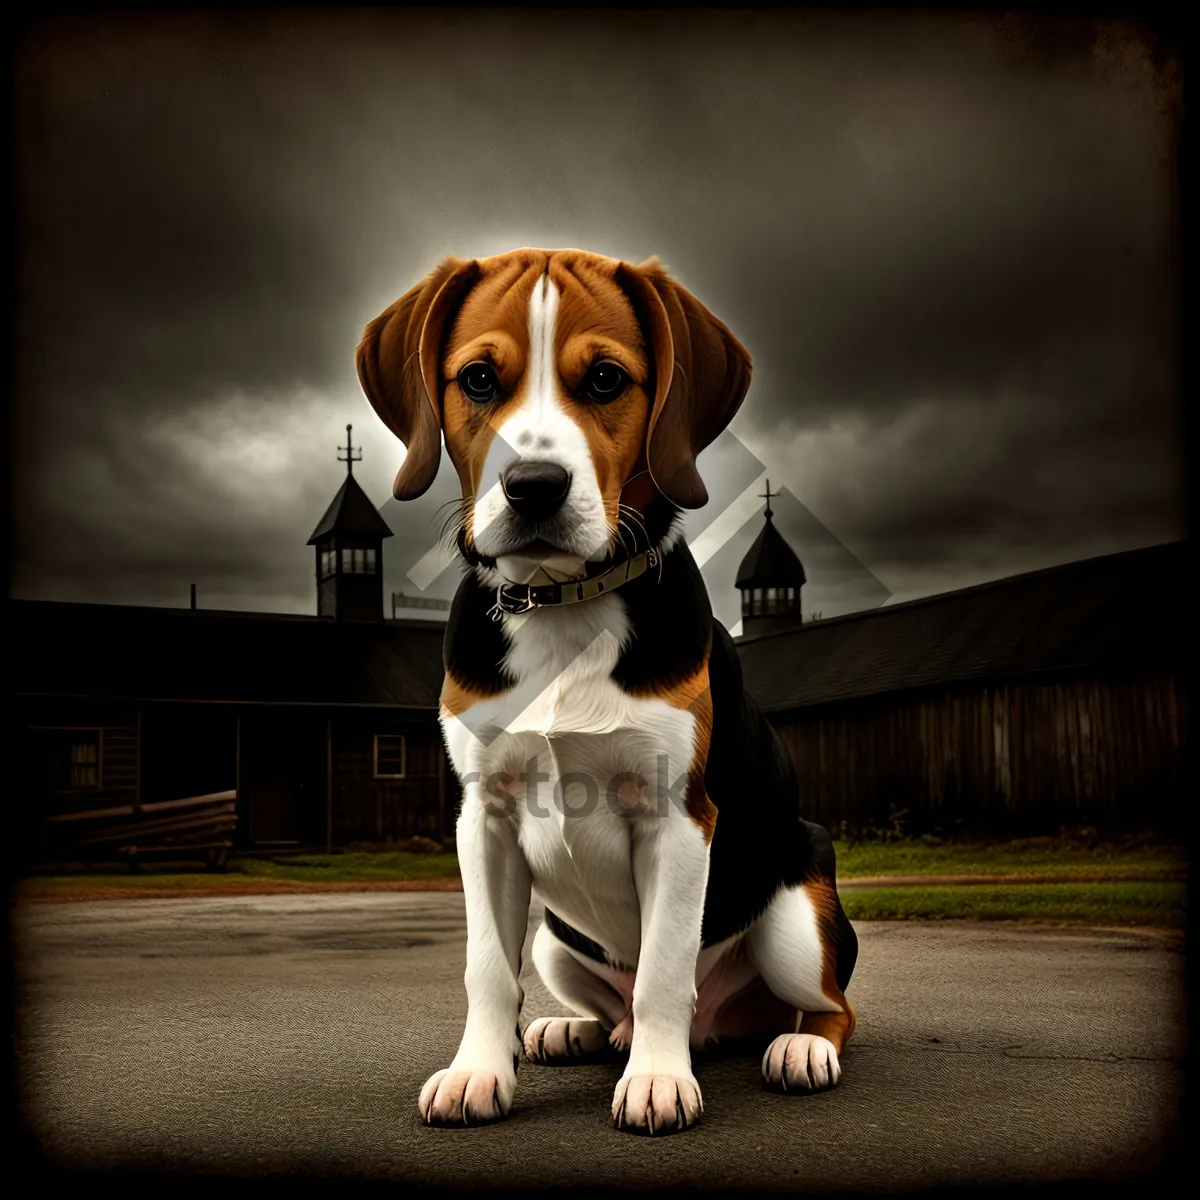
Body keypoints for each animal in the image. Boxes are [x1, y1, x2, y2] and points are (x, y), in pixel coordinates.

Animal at [355, 250, 854, 1132]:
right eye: (478, 379)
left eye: (606, 379)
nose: (534, 486)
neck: (564, 604)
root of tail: (726, 1024)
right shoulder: (483, 819)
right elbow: (487, 968)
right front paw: (479, 1070)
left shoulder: (677, 819)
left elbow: (664, 970)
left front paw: (657, 1080)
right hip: (557, 939)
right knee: (606, 1002)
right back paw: (575, 1031)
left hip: (795, 912)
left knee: (823, 1004)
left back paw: (796, 1047)